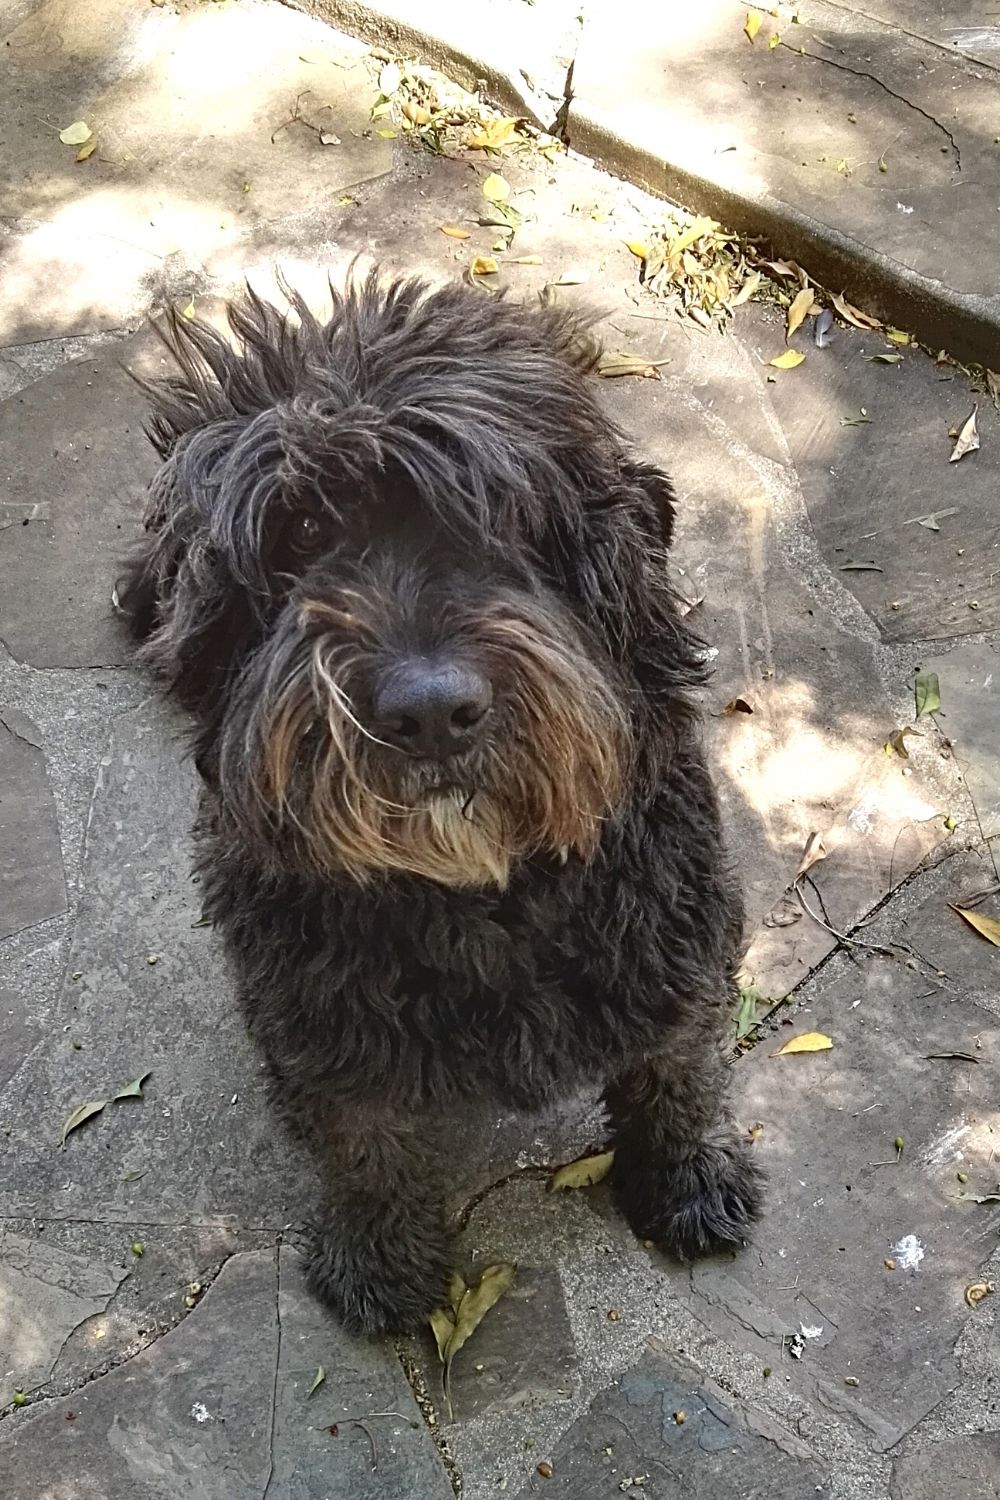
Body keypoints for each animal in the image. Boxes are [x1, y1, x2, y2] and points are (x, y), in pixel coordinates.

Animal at [125, 270, 767, 1338]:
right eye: (303, 531)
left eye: (497, 518)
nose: (429, 712)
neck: (480, 896)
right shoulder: (319, 1016)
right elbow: (366, 1138)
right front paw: (381, 1260)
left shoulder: (677, 942)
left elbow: (678, 1069)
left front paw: (688, 1177)